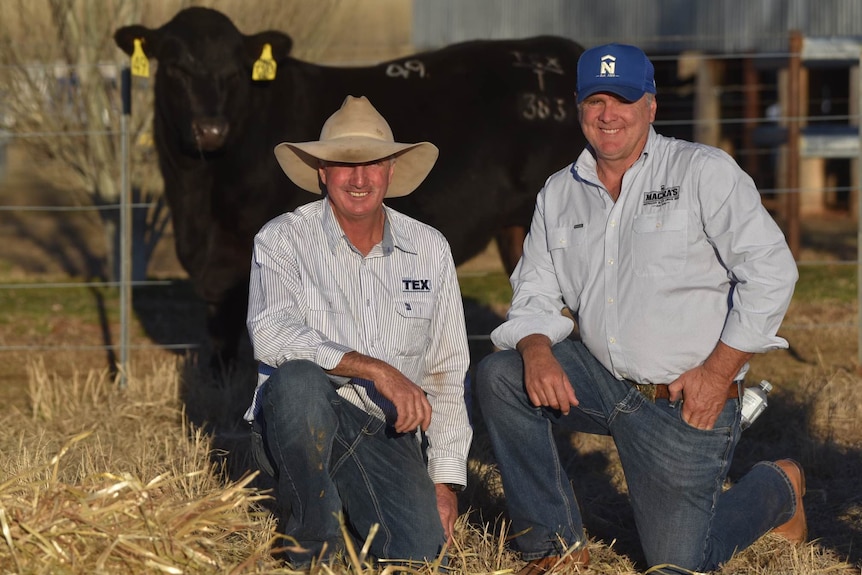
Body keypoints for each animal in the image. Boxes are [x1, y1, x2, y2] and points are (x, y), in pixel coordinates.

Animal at [113, 6, 588, 366]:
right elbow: (220, 340)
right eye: (175, 68)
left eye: (235, 72)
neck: (198, 197)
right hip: (516, 230)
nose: (211, 130)